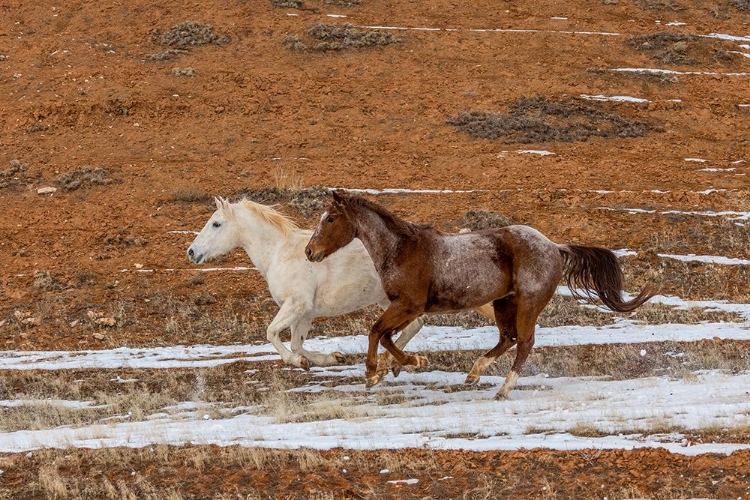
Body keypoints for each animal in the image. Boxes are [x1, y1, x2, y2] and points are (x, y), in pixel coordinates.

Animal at [187, 197, 452, 370]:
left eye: (216, 223)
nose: (191, 252)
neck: (279, 253)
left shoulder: (296, 305)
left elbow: (272, 333)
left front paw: (297, 362)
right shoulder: (304, 313)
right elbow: (297, 344)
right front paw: (332, 358)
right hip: (389, 300)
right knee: (413, 326)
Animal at [302, 191, 656, 398]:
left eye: (330, 218)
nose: (309, 251)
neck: (400, 250)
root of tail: (554, 247)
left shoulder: (409, 305)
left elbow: (377, 331)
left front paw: (375, 372)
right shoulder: (407, 308)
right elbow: (386, 335)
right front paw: (400, 366)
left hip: (528, 303)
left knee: (524, 342)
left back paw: (503, 389)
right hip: (503, 303)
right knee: (507, 339)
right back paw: (473, 374)